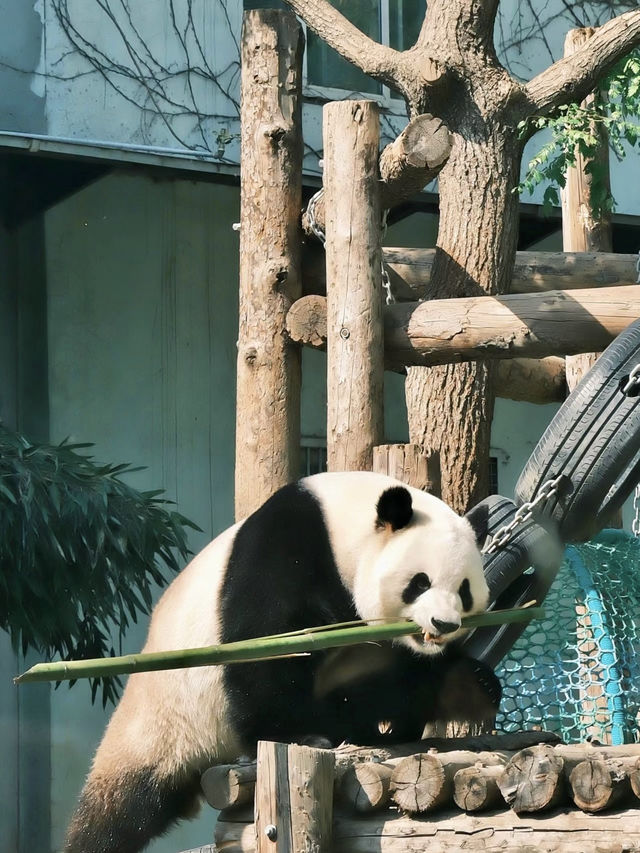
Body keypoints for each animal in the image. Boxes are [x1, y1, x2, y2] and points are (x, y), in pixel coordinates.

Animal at [63, 472, 500, 852]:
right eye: (420, 582)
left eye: (464, 589)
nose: (443, 624)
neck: (342, 526)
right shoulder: (283, 550)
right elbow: (268, 647)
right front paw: (300, 735)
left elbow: (394, 676)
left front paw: (470, 686)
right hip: (163, 721)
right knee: (120, 812)